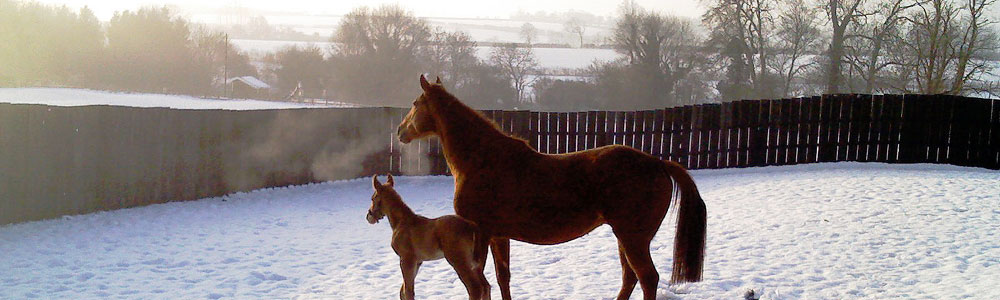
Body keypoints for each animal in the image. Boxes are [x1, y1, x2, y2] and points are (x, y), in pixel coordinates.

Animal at [394, 75, 708, 300]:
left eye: (415, 103)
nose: (400, 131)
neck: (483, 159)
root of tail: (657, 163)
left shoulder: (480, 232)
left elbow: (479, 281)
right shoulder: (498, 236)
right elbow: (502, 278)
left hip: (633, 238)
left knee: (647, 279)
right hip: (626, 237)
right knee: (631, 278)